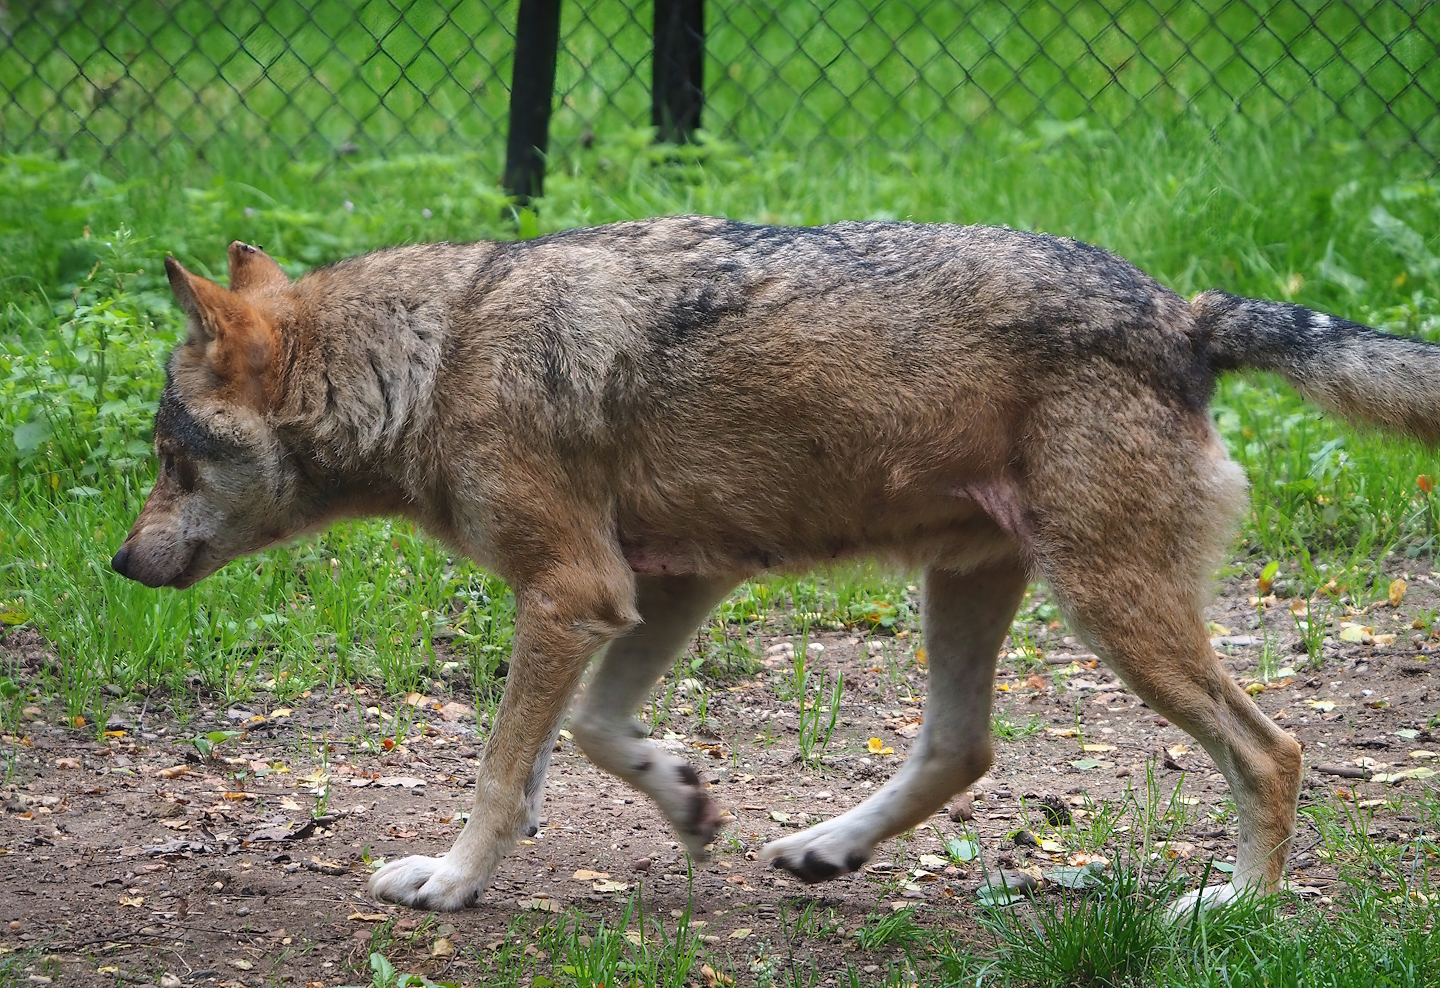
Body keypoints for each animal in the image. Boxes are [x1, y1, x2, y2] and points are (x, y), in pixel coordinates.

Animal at [111, 217, 1440, 913]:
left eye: (169, 457)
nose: (119, 563)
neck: (436, 359)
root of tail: (1184, 310)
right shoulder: (658, 586)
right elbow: (586, 736)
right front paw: (682, 797)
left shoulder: (573, 593)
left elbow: (497, 770)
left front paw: (449, 881)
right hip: (975, 585)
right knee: (963, 748)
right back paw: (824, 850)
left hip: (1113, 611)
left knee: (1274, 750)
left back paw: (1236, 905)